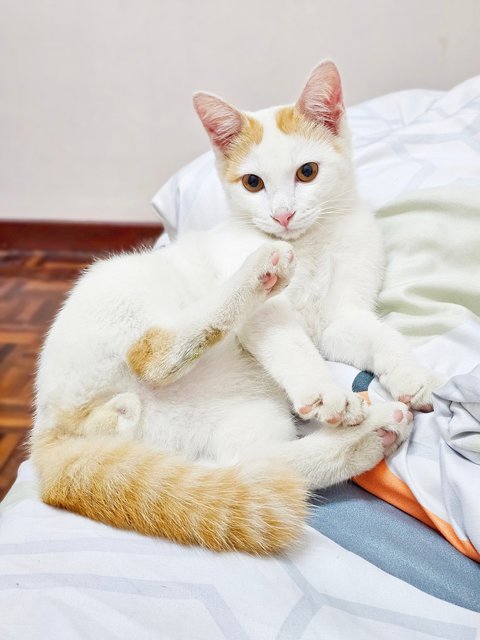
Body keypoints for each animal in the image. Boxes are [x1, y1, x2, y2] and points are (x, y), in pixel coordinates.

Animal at [29, 60, 436, 556]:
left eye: (308, 172)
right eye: (252, 183)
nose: (282, 216)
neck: (311, 245)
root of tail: (49, 431)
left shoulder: (342, 318)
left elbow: (378, 336)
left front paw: (409, 375)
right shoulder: (269, 319)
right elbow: (292, 346)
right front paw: (324, 389)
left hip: (240, 418)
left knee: (260, 466)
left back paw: (373, 435)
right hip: (123, 290)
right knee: (151, 354)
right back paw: (261, 270)